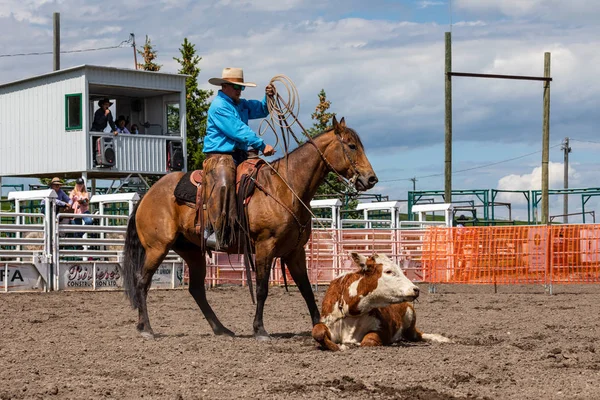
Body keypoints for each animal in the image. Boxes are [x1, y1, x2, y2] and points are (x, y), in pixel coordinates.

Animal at [121, 117, 376, 340]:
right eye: (351, 145)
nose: (371, 178)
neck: (286, 187)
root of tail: (147, 195)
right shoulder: (265, 246)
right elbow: (262, 288)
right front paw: (260, 330)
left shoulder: (295, 252)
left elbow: (306, 289)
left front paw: (320, 326)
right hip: (157, 248)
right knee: (142, 281)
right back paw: (146, 328)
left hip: (191, 251)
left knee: (196, 289)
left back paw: (221, 329)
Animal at [314, 253, 450, 350]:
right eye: (388, 271)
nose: (415, 289)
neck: (351, 311)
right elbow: (318, 332)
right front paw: (339, 346)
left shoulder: (383, 328)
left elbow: (369, 340)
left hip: (410, 320)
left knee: (419, 335)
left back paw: (441, 338)